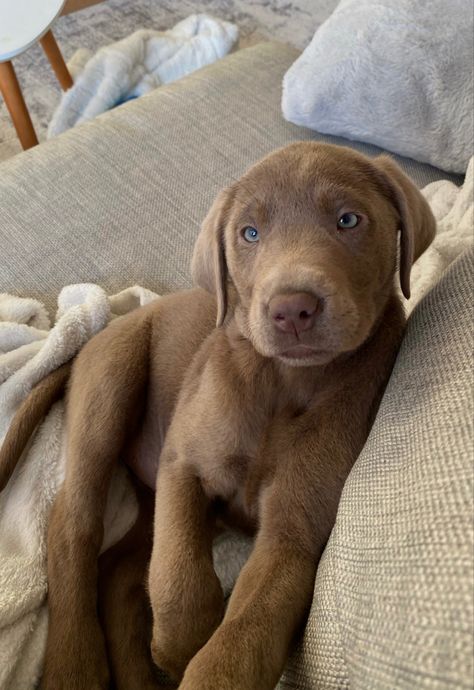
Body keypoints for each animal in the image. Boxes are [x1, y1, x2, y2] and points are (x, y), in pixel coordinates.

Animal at [0, 141, 434, 688]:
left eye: (348, 219)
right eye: (249, 233)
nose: (292, 309)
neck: (281, 383)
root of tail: (97, 334)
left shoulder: (293, 532)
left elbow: (239, 643)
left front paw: (186, 655)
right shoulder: (183, 464)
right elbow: (178, 574)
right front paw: (178, 643)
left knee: (119, 572)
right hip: (111, 382)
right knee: (72, 525)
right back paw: (75, 664)